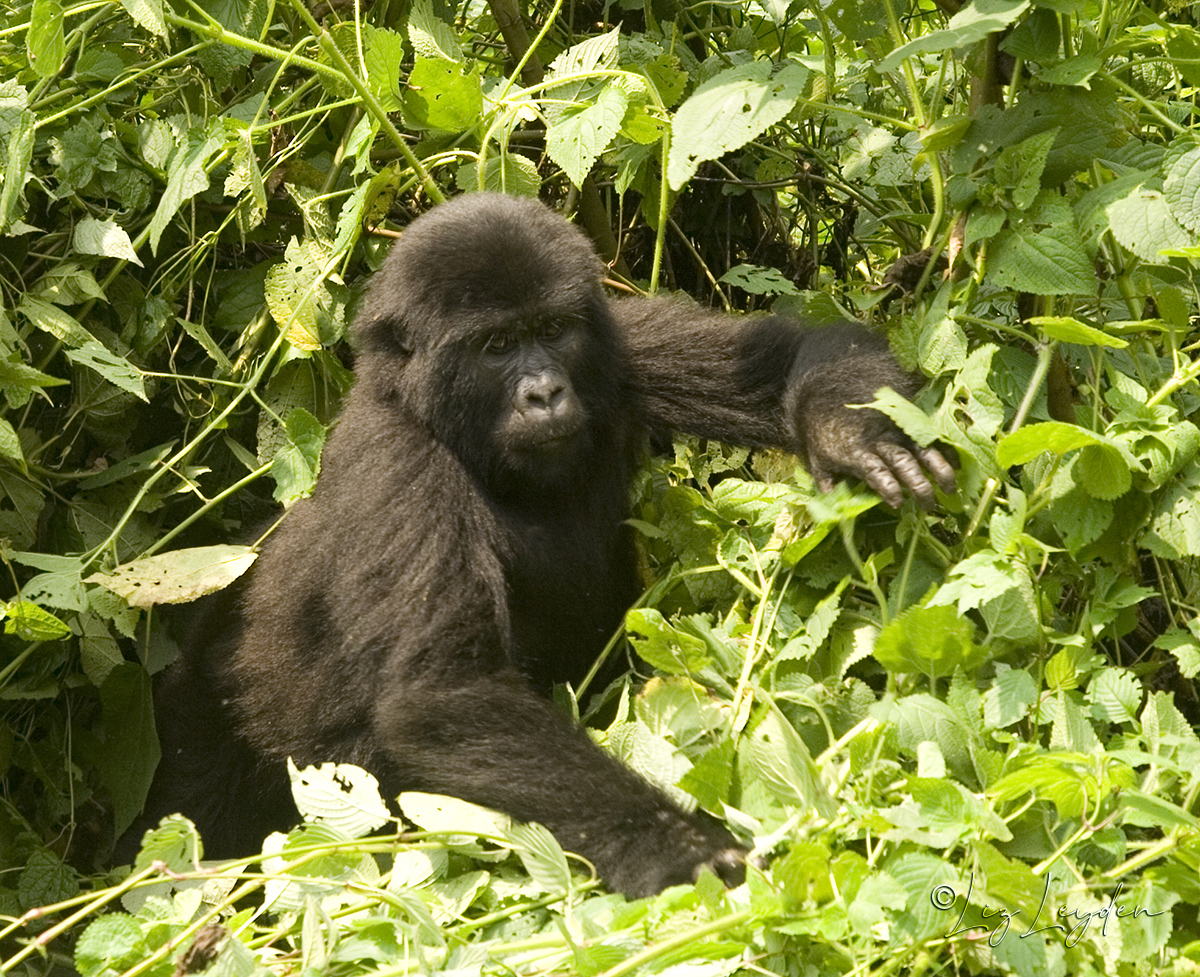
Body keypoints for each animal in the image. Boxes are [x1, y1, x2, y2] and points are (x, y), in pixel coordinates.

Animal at [126, 193, 955, 902]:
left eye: (552, 330)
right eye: (496, 346)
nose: (545, 393)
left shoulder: (615, 345)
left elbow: (785, 355)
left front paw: (856, 430)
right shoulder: (401, 468)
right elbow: (444, 696)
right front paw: (677, 847)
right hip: (198, 727)